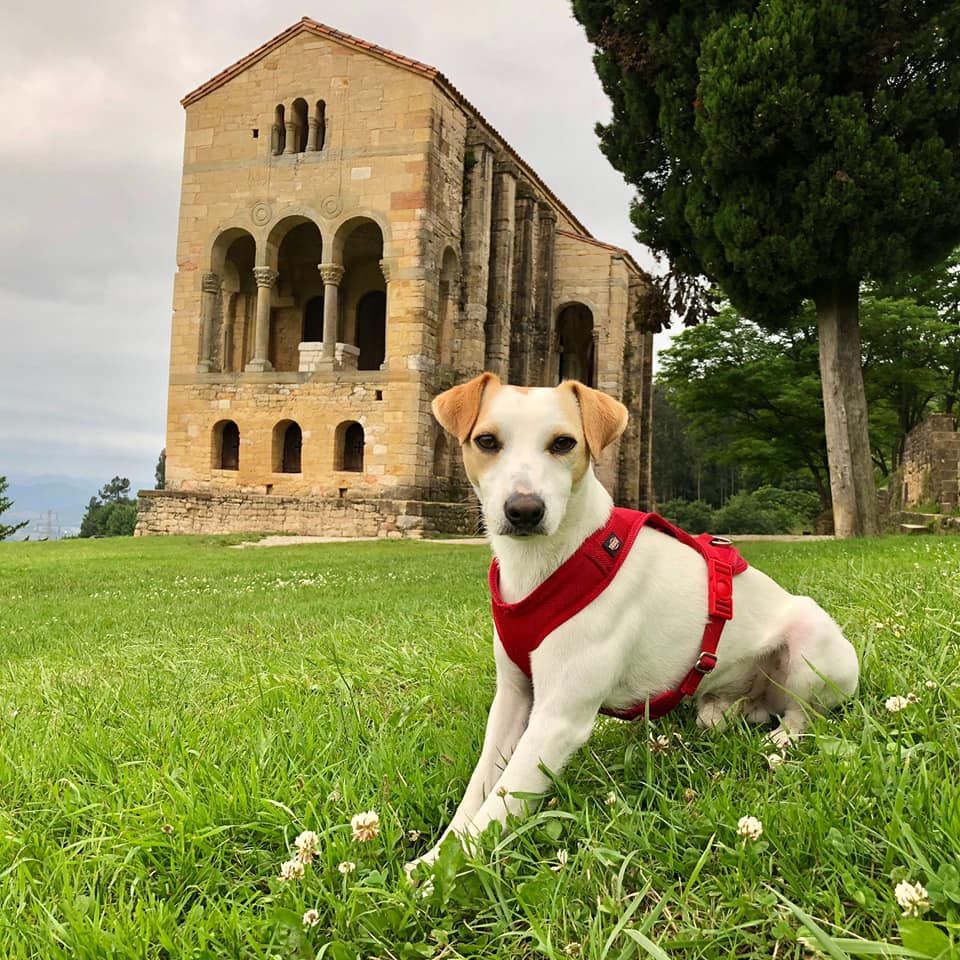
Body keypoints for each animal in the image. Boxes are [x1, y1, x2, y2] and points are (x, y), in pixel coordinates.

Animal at [411, 372, 858, 868]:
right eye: (486, 441)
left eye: (564, 443)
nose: (524, 510)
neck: (547, 564)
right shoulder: (513, 697)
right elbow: (478, 791)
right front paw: (438, 851)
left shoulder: (557, 719)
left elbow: (495, 808)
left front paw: (432, 873)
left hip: (811, 645)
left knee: (803, 715)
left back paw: (780, 741)